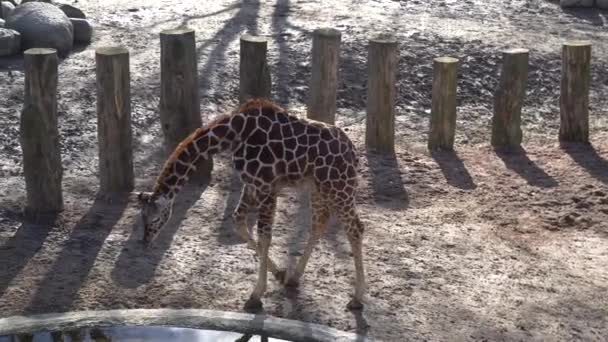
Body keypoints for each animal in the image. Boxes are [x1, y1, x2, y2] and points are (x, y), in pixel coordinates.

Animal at [138, 97, 366, 312]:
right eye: (142, 217)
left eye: (155, 218)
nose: (145, 241)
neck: (233, 134)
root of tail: (353, 153)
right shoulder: (251, 185)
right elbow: (238, 221)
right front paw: (280, 274)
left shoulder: (267, 187)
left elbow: (264, 235)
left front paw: (256, 296)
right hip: (318, 188)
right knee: (320, 223)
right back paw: (294, 279)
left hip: (339, 188)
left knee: (355, 228)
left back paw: (357, 299)